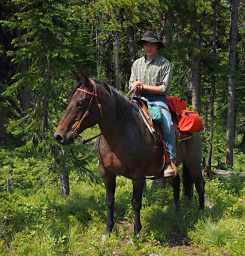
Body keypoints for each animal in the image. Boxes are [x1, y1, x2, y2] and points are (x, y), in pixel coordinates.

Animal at [54, 73, 205, 235]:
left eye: (81, 102)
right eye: (70, 100)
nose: (59, 136)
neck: (120, 134)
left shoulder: (138, 177)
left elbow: (136, 202)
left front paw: (137, 232)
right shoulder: (107, 173)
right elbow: (110, 201)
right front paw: (108, 230)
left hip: (193, 162)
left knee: (199, 183)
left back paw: (201, 213)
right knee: (176, 183)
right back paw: (176, 212)